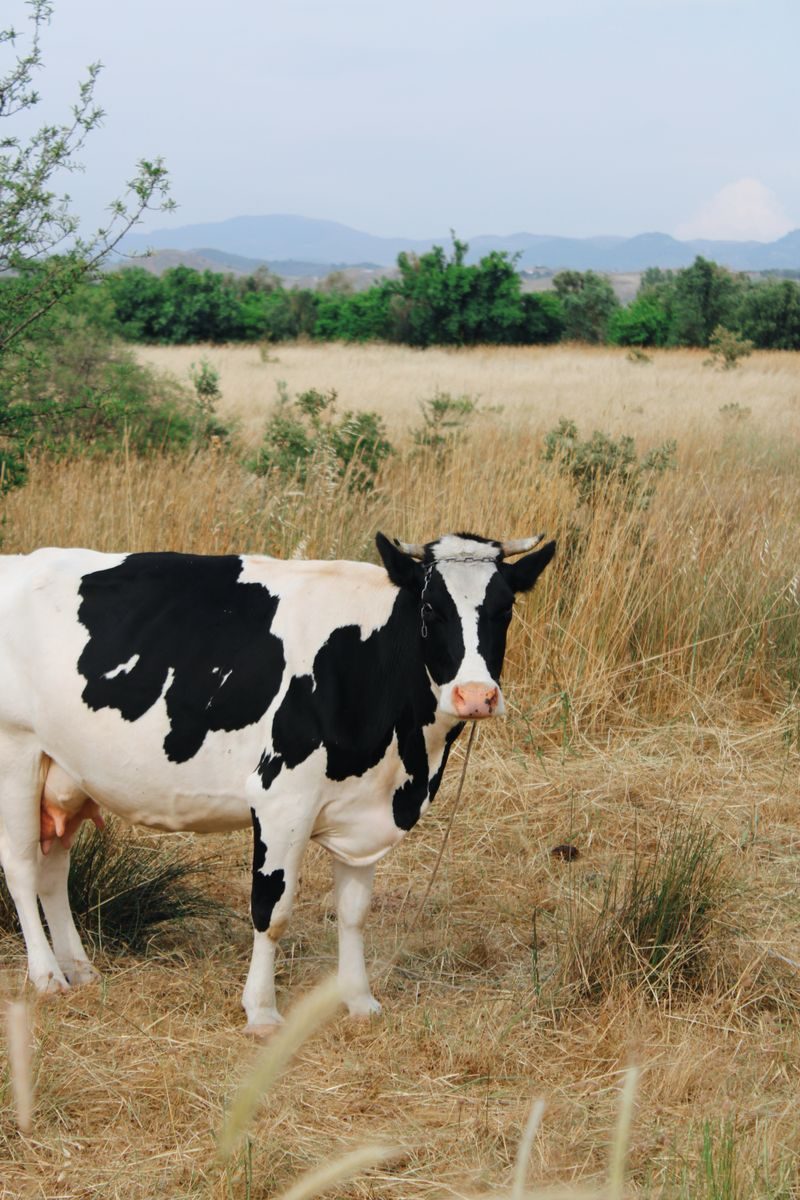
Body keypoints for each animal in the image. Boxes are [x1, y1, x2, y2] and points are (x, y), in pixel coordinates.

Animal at [0, 531, 555, 1033]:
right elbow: (273, 909)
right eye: (430, 610)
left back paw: (80, 970)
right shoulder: (281, 798)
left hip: (65, 773)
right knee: (23, 868)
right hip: (16, 754)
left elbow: (353, 911)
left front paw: (360, 1000)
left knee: (53, 871)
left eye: (505, 609)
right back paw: (47, 977)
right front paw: (262, 1011)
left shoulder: (362, 808)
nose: (476, 695)